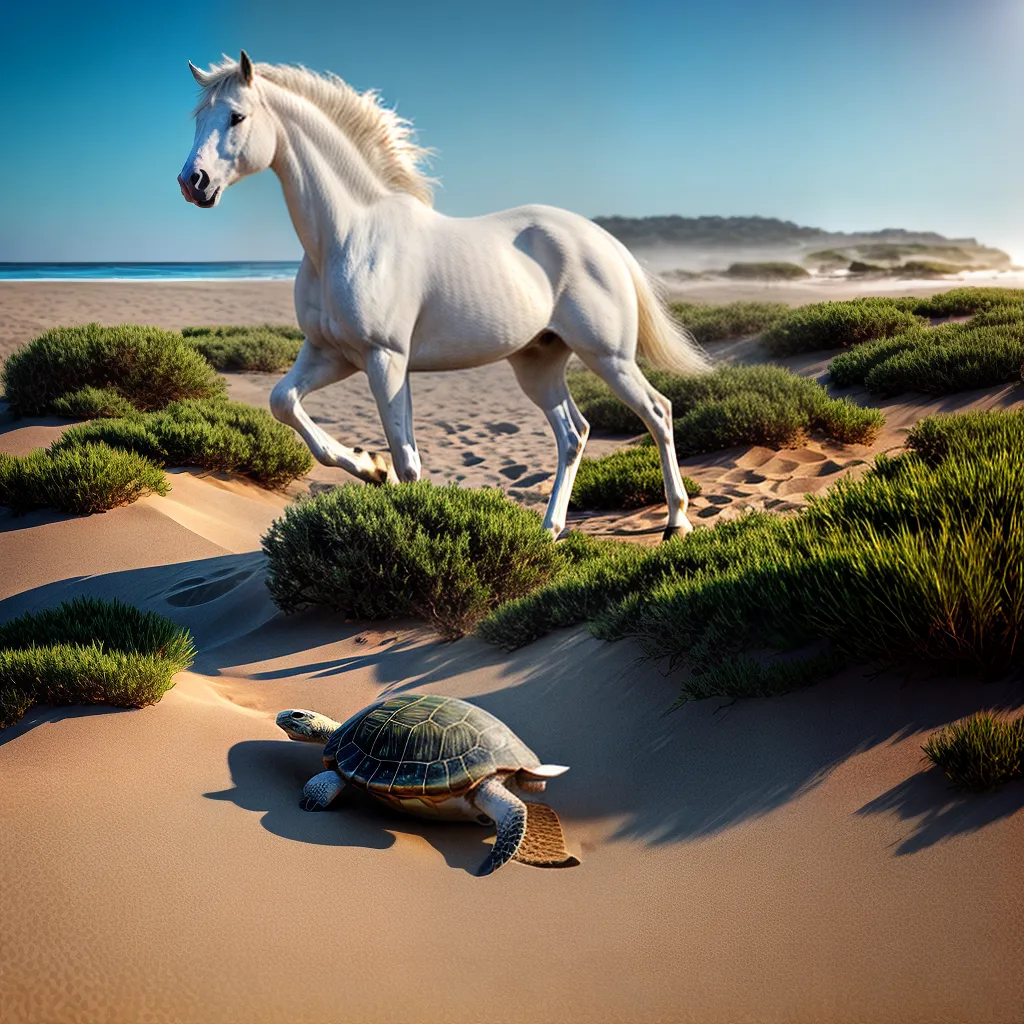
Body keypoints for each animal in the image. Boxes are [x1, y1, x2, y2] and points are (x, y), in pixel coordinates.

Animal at [178, 51, 710, 540]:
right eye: (198, 117)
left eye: (236, 116)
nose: (192, 183)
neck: (347, 236)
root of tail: (602, 241)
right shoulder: (332, 354)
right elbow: (284, 402)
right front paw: (370, 466)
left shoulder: (386, 359)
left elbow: (408, 458)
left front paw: (405, 513)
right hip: (538, 364)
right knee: (573, 433)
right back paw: (549, 530)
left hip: (608, 356)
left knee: (658, 412)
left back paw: (676, 522)